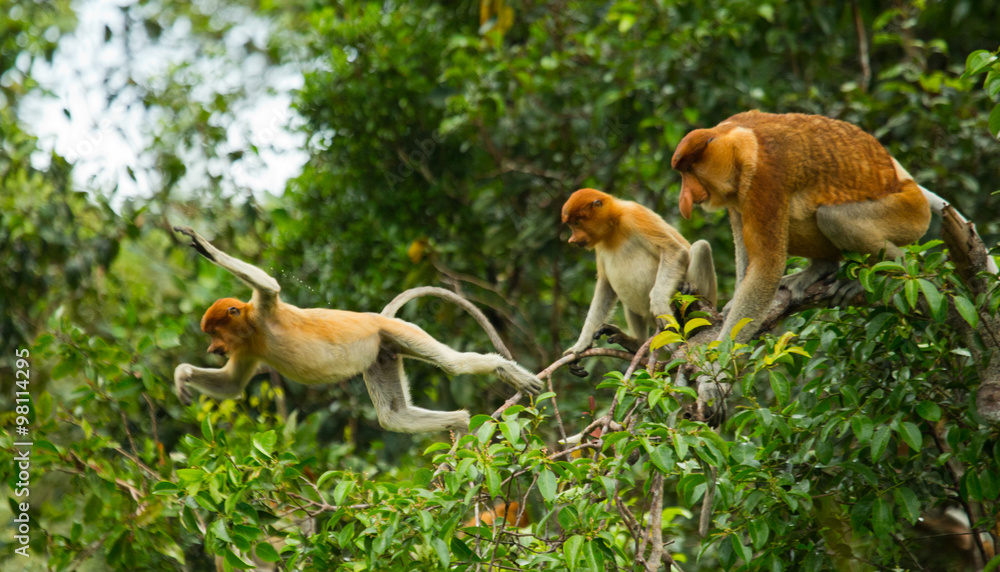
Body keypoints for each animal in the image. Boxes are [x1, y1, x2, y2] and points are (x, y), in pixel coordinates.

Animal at [171, 226, 543, 434]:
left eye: (214, 332)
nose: (212, 349)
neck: (250, 329)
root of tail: (378, 318)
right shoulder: (247, 347)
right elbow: (233, 385)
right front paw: (183, 375)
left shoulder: (262, 311)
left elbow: (268, 285)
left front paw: (202, 244)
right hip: (382, 353)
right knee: (394, 417)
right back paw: (462, 423)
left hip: (398, 333)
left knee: (453, 365)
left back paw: (504, 371)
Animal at [561, 189, 718, 367]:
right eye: (571, 224)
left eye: (576, 223)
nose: (572, 240)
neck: (613, 225)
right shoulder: (599, 245)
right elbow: (605, 286)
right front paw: (580, 346)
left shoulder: (634, 215)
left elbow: (674, 250)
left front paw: (659, 306)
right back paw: (635, 343)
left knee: (701, 246)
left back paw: (688, 293)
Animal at [671, 111, 931, 343]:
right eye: (682, 172)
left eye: (690, 170)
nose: (683, 200)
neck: (740, 143)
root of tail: (907, 185)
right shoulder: (737, 196)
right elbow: (745, 247)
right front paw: (734, 303)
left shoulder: (766, 178)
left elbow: (767, 265)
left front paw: (720, 357)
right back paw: (820, 268)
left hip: (907, 214)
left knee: (833, 218)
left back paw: (893, 271)